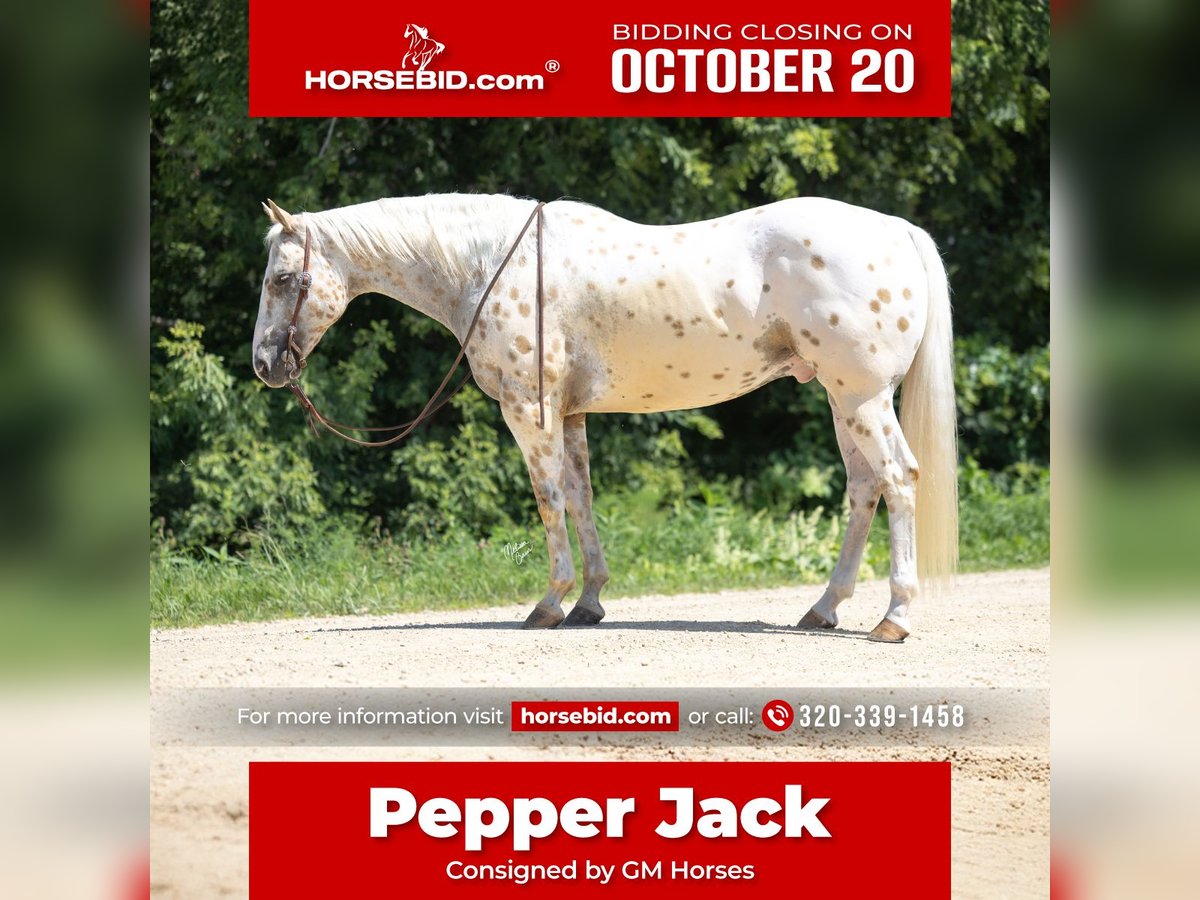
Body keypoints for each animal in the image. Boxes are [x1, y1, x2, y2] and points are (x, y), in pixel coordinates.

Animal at [252, 194, 957, 642]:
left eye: (283, 279)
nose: (264, 364)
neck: (491, 263)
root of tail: (897, 230)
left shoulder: (527, 409)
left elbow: (547, 498)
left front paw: (549, 602)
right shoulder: (569, 415)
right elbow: (581, 497)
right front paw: (589, 600)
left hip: (861, 397)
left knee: (899, 481)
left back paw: (894, 618)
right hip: (843, 401)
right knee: (864, 489)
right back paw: (824, 608)